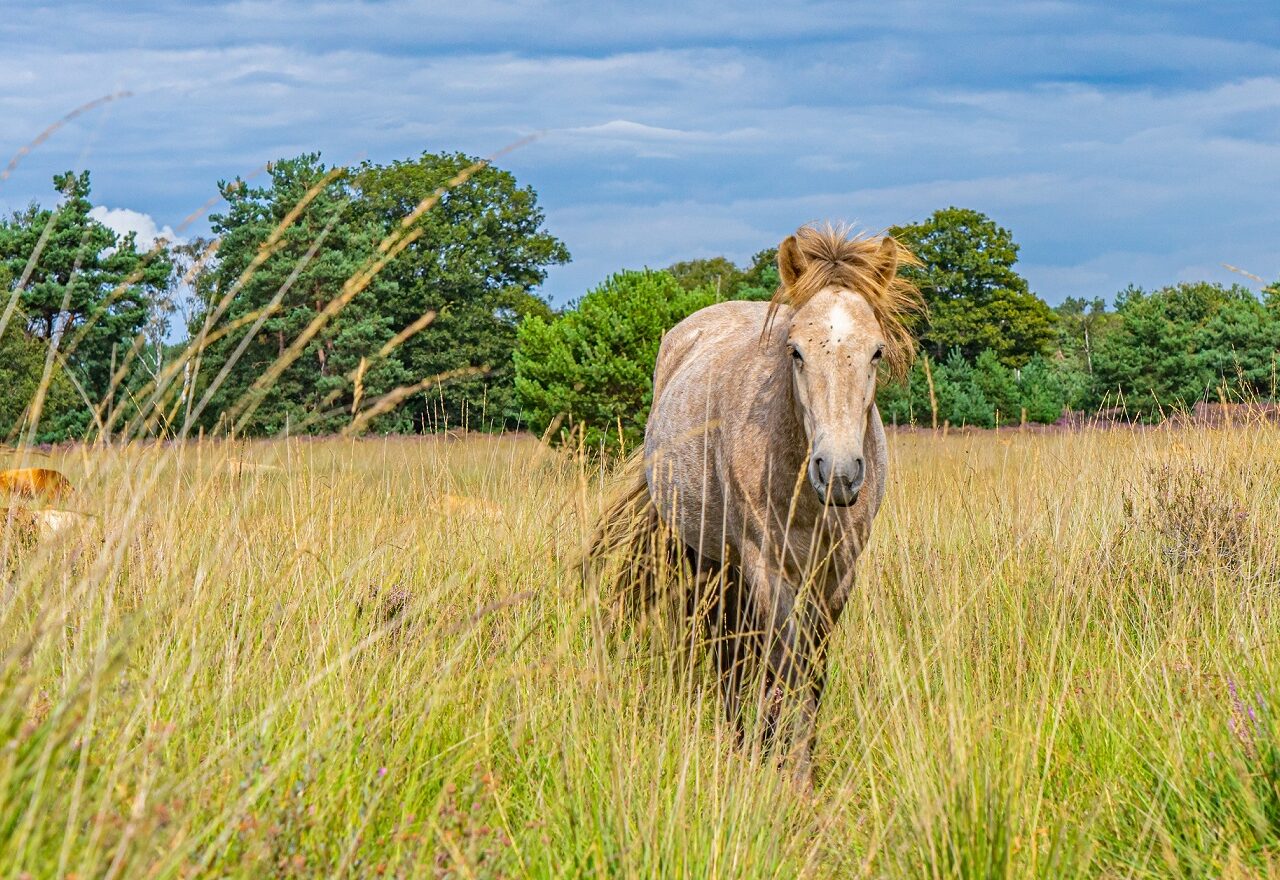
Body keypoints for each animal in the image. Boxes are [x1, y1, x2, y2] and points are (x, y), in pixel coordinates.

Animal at [588, 223, 921, 787]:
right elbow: (784, 664)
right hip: (710, 560)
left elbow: (812, 670)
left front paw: (797, 763)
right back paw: (740, 741)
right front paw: (790, 773)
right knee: (726, 650)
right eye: (796, 351)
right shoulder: (766, 566)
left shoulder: (838, 573)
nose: (838, 473)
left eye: (876, 351)